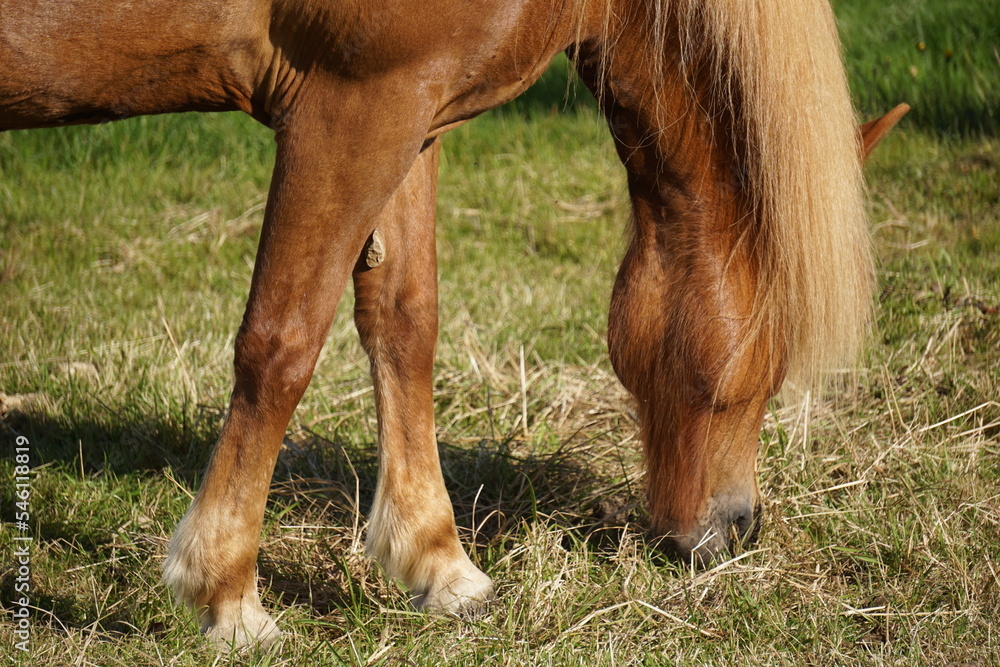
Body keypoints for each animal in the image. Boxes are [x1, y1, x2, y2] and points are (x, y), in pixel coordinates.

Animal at [0, 0, 905, 648]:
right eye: (768, 360)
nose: (736, 529)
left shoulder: (412, 107)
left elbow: (404, 322)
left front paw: (438, 562)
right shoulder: (354, 104)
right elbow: (283, 340)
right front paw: (227, 594)